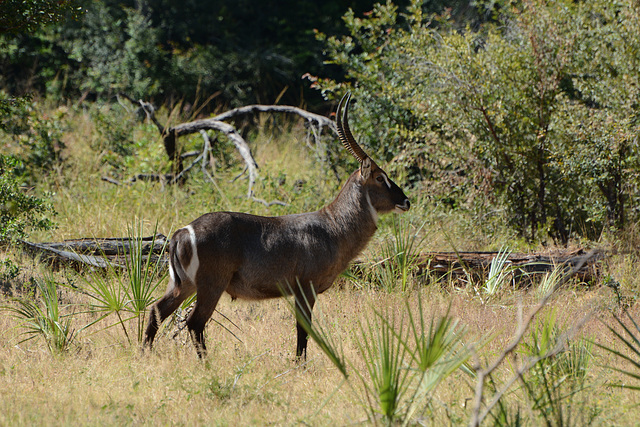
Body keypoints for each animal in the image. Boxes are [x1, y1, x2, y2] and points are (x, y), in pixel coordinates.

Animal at [144, 93, 410, 358]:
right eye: (380, 177)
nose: (406, 201)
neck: (334, 225)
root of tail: (182, 231)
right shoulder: (305, 288)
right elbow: (303, 329)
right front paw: (300, 364)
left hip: (183, 285)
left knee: (156, 310)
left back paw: (144, 353)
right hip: (211, 285)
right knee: (194, 323)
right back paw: (205, 363)